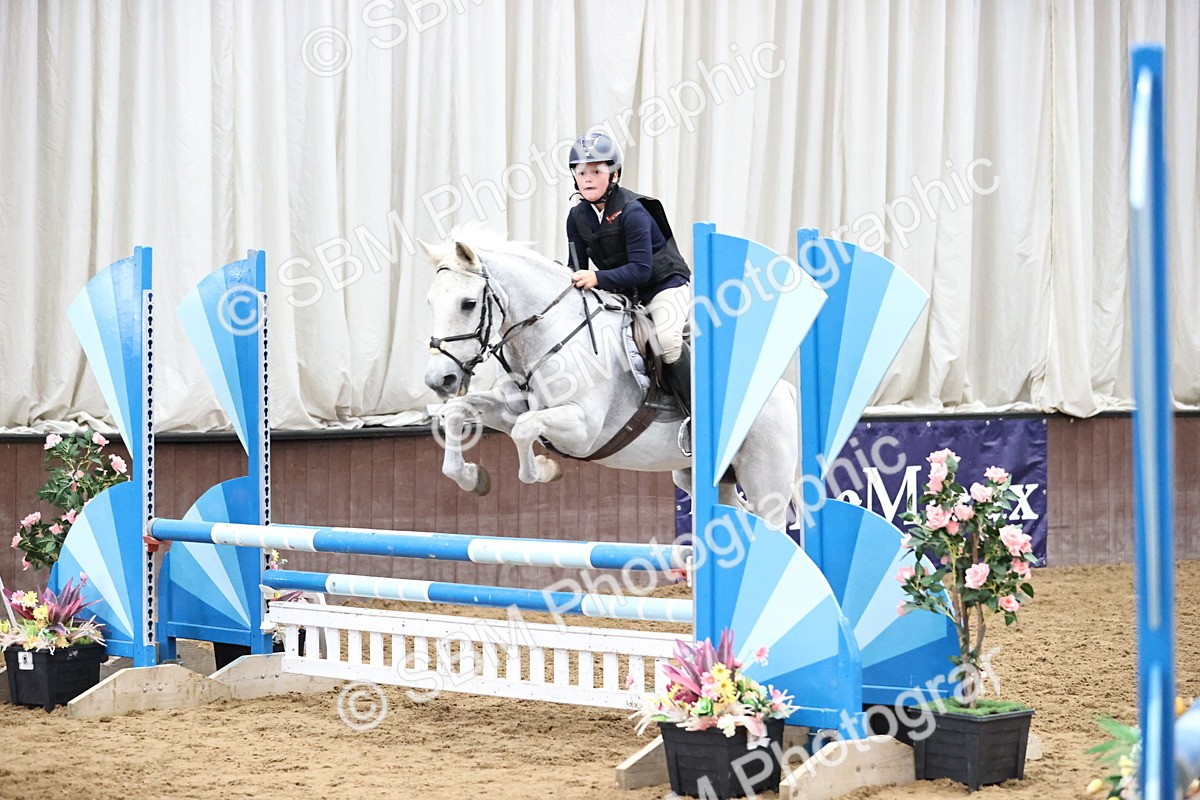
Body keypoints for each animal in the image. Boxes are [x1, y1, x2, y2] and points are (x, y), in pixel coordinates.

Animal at [419, 232, 799, 531]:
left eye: (468, 303)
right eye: (430, 302)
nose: (440, 379)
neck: (549, 334)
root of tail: (785, 390)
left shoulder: (582, 429)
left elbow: (525, 430)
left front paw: (544, 470)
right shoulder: (507, 409)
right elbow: (458, 412)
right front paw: (472, 478)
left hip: (766, 482)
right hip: (703, 478)